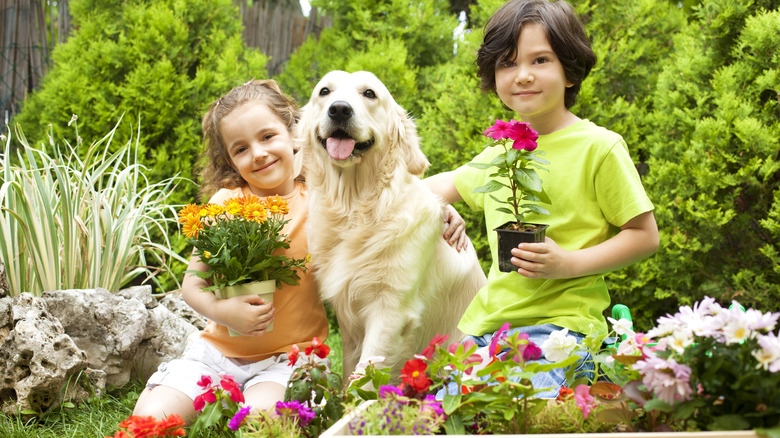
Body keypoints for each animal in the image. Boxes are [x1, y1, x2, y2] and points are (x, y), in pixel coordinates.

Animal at [298, 71, 488, 380]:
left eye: (370, 93)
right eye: (324, 91)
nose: (339, 109)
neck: (355, 209)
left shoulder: (391, 311)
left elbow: (365, 376)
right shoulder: (348, 319)